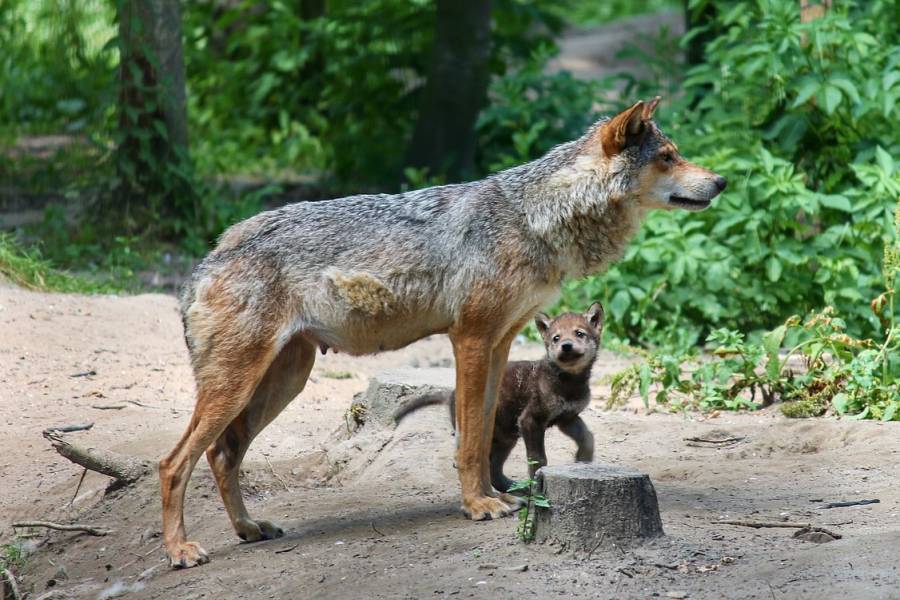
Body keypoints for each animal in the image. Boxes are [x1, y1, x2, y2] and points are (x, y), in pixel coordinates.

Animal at [160, 97, 724, 568]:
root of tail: (209, 259)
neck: (535, 218)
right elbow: (469, 440)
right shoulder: (470, 340)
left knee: (221, 454)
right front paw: (477, 505)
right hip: (239, 386)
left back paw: (248, 529)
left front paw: (495, 495)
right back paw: (181, 551)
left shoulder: (499, 344)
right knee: (173, 463)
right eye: (668, 157)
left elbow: (484, 431)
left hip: (281, 383)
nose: (719, 182)